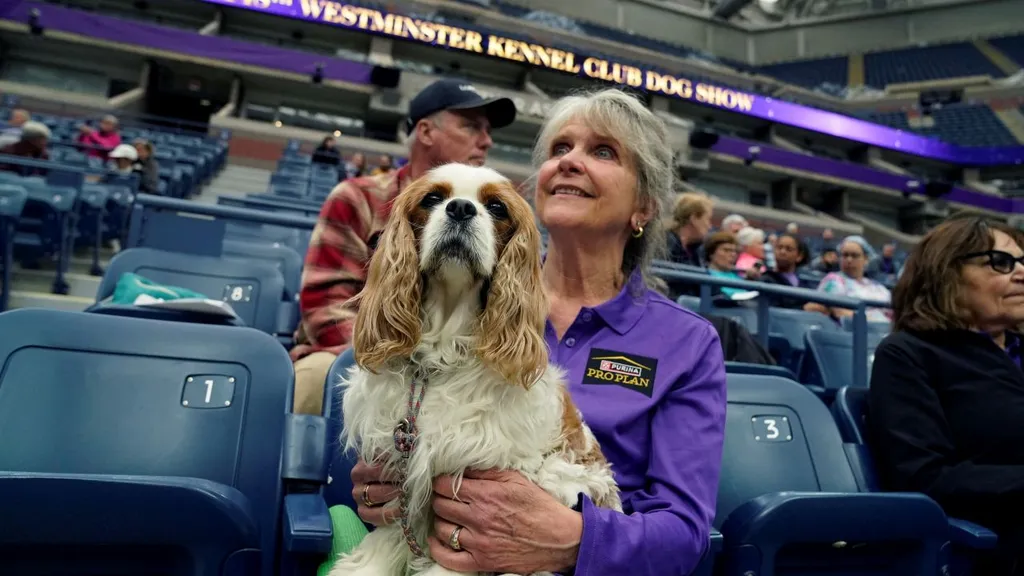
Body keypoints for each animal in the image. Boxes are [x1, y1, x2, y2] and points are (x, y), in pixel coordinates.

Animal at [329, 162, 614, 573]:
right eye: (432, 198)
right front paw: (369, 566)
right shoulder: (399, 465)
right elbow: (393, 529)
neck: (439, 356)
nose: (461, 208)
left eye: (497, 207)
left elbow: (456, 556)